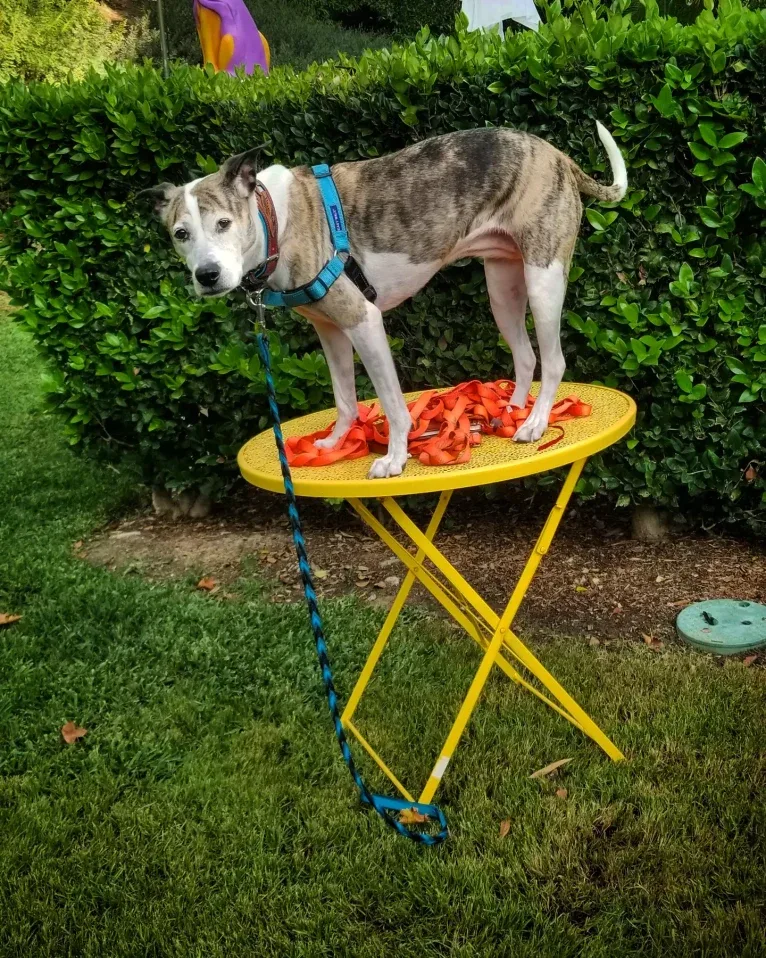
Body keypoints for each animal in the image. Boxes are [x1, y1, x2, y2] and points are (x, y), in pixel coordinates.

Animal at [141, 122, 628, 478]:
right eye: (180, 234)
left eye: (224, 223)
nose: (207, 276)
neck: (274, 218)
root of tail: (558, 156)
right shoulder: (330, 330)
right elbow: (344, 398)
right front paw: (334, 444)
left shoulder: (364, 320)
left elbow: (392, 403)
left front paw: (395, 458)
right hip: (502, 290)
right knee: (526, 356)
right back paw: (508, 412)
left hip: (543, 280)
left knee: (555, 360)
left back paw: (535, 422)